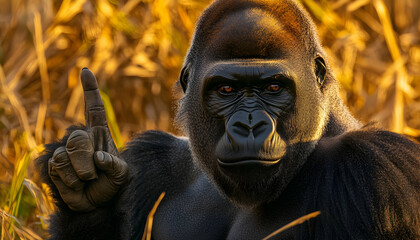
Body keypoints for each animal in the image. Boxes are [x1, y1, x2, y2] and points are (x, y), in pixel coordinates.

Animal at [37, 0, 420, 239]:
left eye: (273, 87)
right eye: (225, 89)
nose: (249, 125)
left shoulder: (375, 170)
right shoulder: (156, 162)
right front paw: (88, 190)